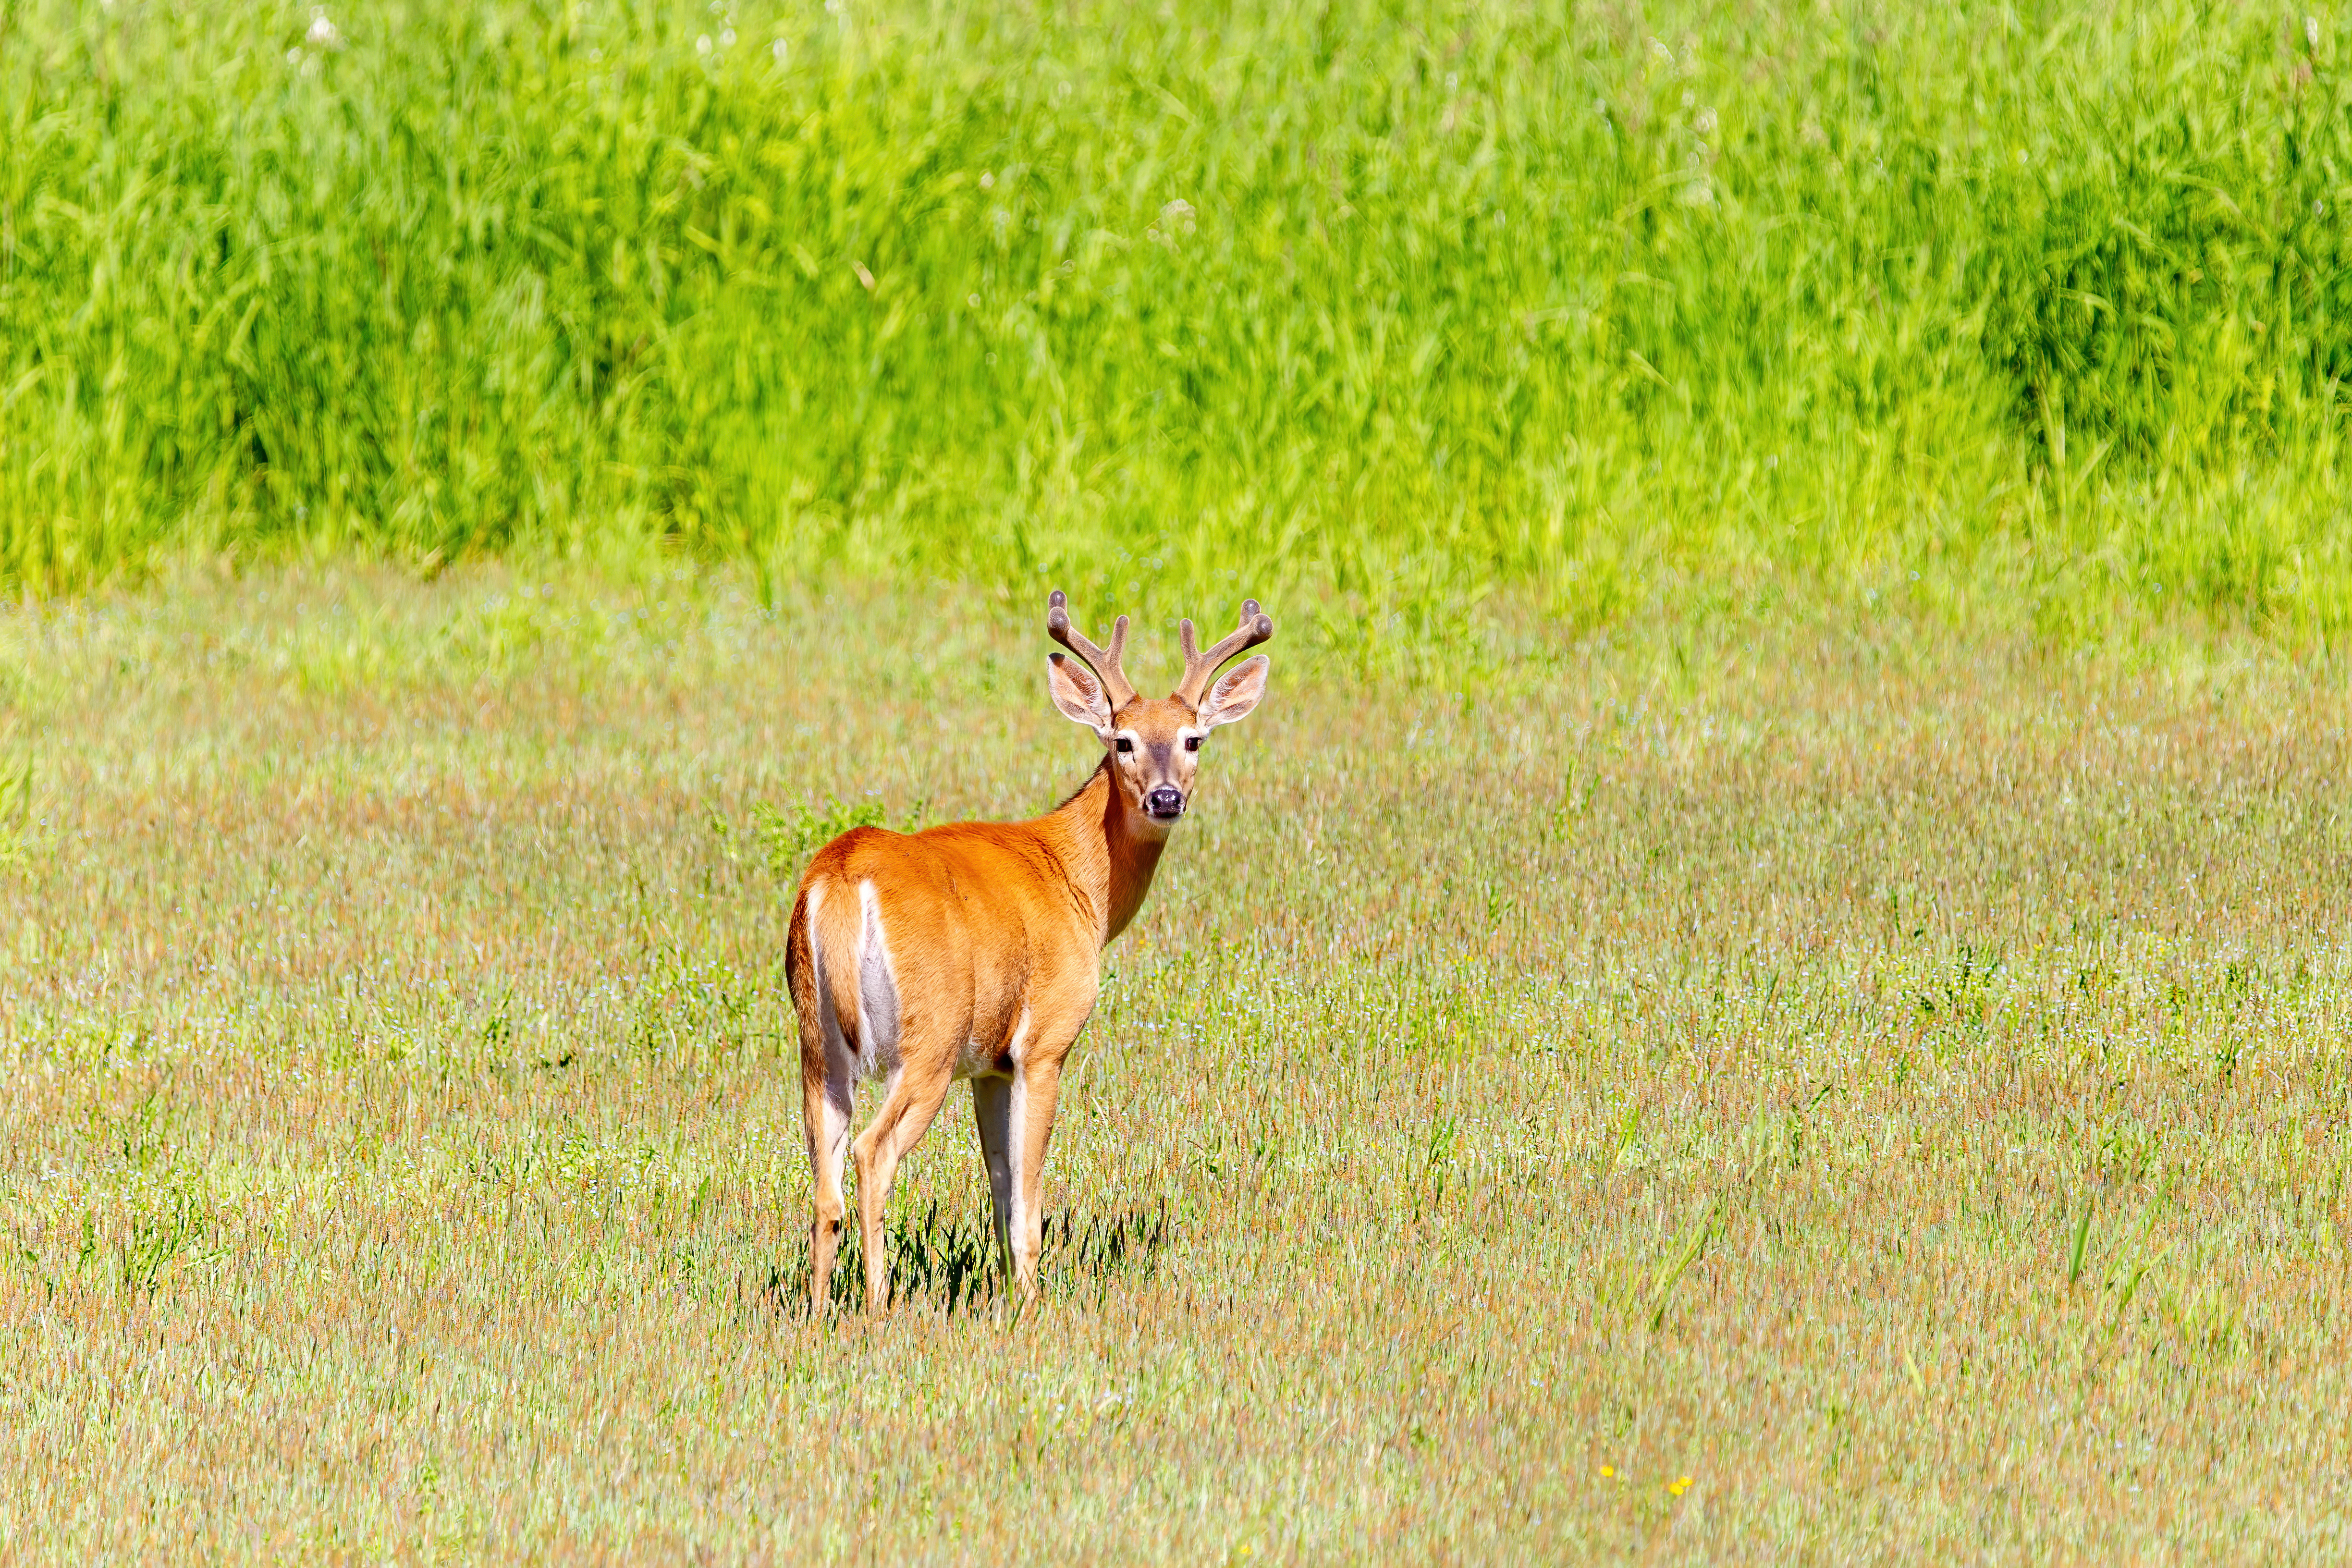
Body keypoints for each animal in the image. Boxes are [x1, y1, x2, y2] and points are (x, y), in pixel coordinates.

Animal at [785, 590, 1273, 1314]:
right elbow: (1027, 1200)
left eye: (1194, 739)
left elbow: (997, 1189)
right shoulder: (1044, 1043)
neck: (1080, 881)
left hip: (817, 1047)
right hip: (929, 1039)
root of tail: (841, 878)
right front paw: (1029, 1305)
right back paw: (876, 1309)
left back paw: (819, 1314)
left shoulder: (988, 1065)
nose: (1166, 797)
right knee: (874, 1155)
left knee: (825, 1183)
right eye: (1122, 740)